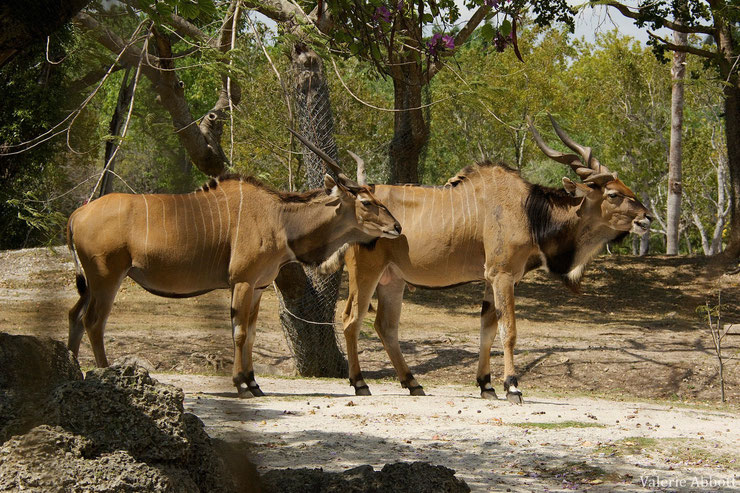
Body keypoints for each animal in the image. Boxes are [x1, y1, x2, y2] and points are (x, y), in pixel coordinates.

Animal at [68, 145, 404, 396]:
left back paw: (75, 372)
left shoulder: (258, 286)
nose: (397, 227)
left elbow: (251, 333)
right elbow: (239, 332)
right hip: (107, 277)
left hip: (94, 283)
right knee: (93, 321)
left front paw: (254, 383)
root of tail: (78, 214)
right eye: (366, 201)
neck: (279, 218)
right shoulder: (241, 282)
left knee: (75, 315)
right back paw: (105, 374)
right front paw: (240, 385)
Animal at [338, 116, 652, 404]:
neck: (529, 211)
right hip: (365, 274)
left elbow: (487, 331)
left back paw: (413, 383)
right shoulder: (503, 276)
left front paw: (486, 386)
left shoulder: (492, 279)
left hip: (393, 280)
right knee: (352, 319)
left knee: (385, 326)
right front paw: (512, 386)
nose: (646, 217)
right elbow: (508, 331)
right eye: (614, 194)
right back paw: (360, 383)